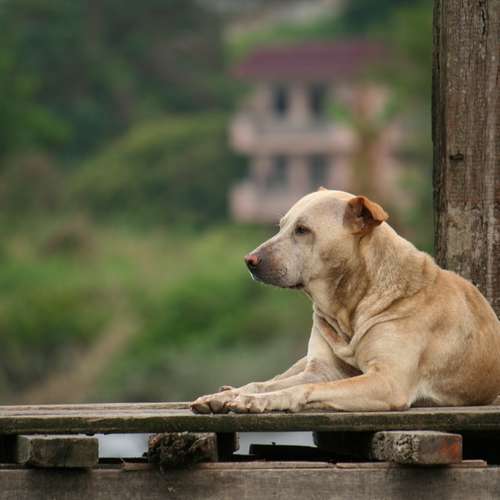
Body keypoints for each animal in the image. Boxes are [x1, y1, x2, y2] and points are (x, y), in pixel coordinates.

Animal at [191, 189, 500, 413]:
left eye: (302, 230)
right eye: (281, 226)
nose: (249, 260)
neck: (350, 304)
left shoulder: (388, 381)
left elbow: (300, 389)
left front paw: (257, 402)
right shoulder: (322, 370)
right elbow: (269, 384)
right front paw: (241, 395)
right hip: (302, 363)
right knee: (270, 379)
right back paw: (224, 394)